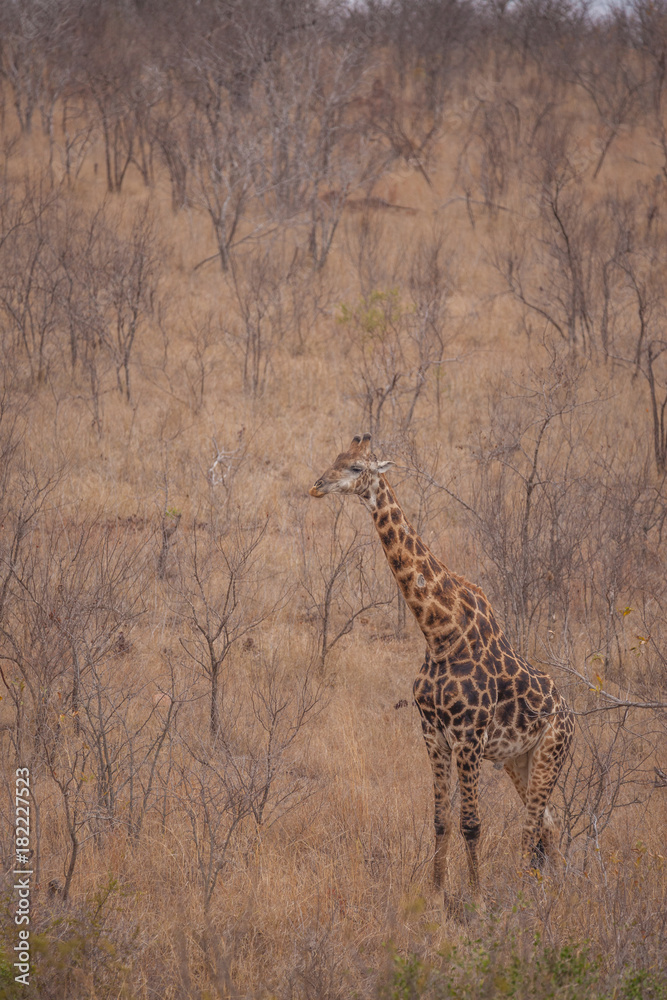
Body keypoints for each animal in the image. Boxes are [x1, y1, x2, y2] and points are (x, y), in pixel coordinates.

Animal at [309, 434, 575, 896]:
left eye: (357, 467)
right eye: (336, 458)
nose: (318, 486)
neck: (439, 631)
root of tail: (572, 717)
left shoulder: (469, 738)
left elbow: (471, 823)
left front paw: (477, 898)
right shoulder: (432, 733)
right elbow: (439, 820)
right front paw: (435, 893)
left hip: (550, 751)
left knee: (531, 826)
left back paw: (525, 891)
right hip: (519, 760)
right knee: (548, 821)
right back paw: (551, 891)